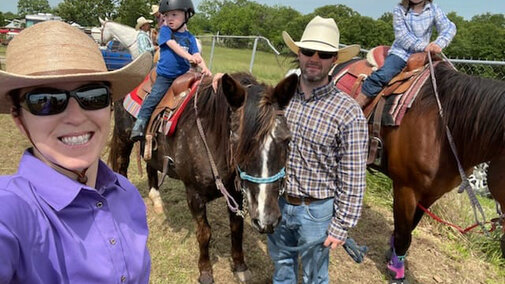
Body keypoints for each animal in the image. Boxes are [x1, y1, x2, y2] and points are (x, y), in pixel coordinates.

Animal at [108, 72, 298, 284]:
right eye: (237, 142)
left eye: (287, 140)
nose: (267, 220)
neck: (211, 138)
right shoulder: (194, 195)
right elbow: (204, 233)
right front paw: (206, 272)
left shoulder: (235, 194)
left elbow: (236, 228)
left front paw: (240, 266)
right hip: (123, 138)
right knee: (121, 166)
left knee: (151, 164)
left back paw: (157, 202)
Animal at [332, 59, 502, 280]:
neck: (444, 128)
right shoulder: (406, 188)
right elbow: (404, 234)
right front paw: (396, 271)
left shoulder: (431, 194)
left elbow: (409, 227)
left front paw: (392, 253)